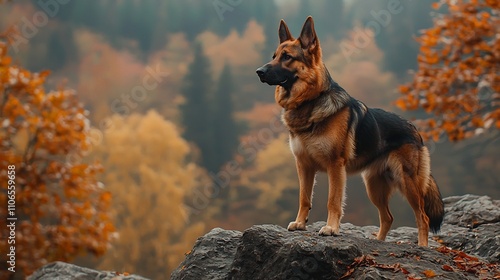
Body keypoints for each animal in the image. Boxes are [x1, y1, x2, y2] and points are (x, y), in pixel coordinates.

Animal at [256, 16, 444, 246]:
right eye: (274, 56)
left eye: (287, 57)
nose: (259, 72)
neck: (310, 101)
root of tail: (416, 131)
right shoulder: (303, 166)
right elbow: (304, 198)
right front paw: (300, 223)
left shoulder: (335, 167)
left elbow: (333, 200)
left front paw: (331, 228)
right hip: (374, 187)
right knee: (388, 217)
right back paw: (378, 241)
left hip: (407, 183)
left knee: (422, 217)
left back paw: (422, 246)